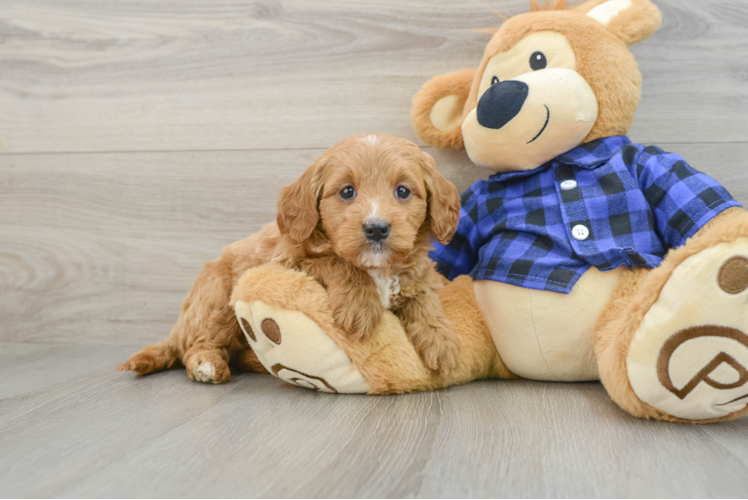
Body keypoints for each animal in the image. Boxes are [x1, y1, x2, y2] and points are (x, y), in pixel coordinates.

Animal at [118, 133, 462, 382]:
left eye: (403, 191)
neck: (376, 268)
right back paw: (207, 365)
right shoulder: (288, 262)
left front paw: (441, 341)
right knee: (198, 343)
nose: (376, 228)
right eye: (347, 192)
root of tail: (178, 328)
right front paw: (360, 305)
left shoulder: (416, 275)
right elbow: (333, 261)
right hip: (217, 299)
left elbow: (424, 296)